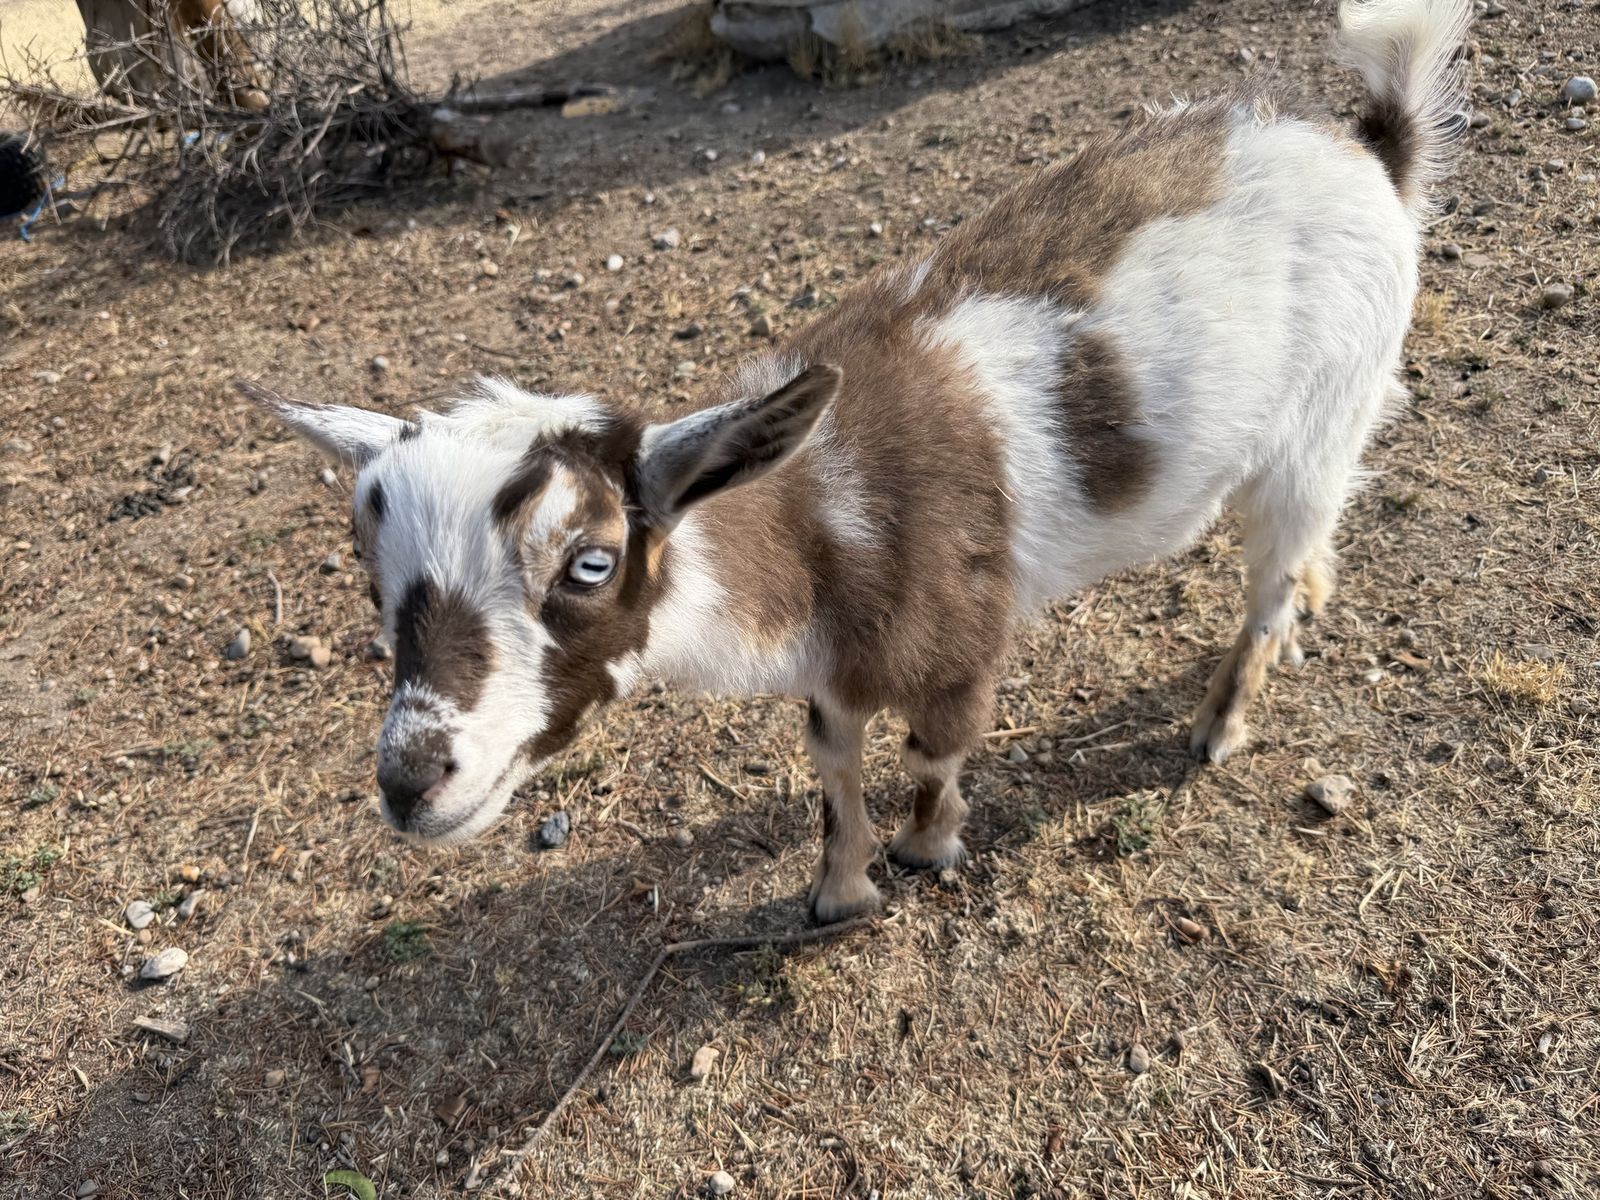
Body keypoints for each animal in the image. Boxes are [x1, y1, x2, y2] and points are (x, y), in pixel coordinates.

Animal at [246, 0, 1470, 923]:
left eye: (590, 562)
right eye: (368, 570)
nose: (410, 781)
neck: (825, 519)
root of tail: (1371, 148)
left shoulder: (959, 644)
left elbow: (934, 755)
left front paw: (926, 853)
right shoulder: (832, 675)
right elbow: (832, 770)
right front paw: (839, 892)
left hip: (1321, 415)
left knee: (1269, 570)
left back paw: (1219, 726)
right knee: (1308, 545)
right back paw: (1305, 616)